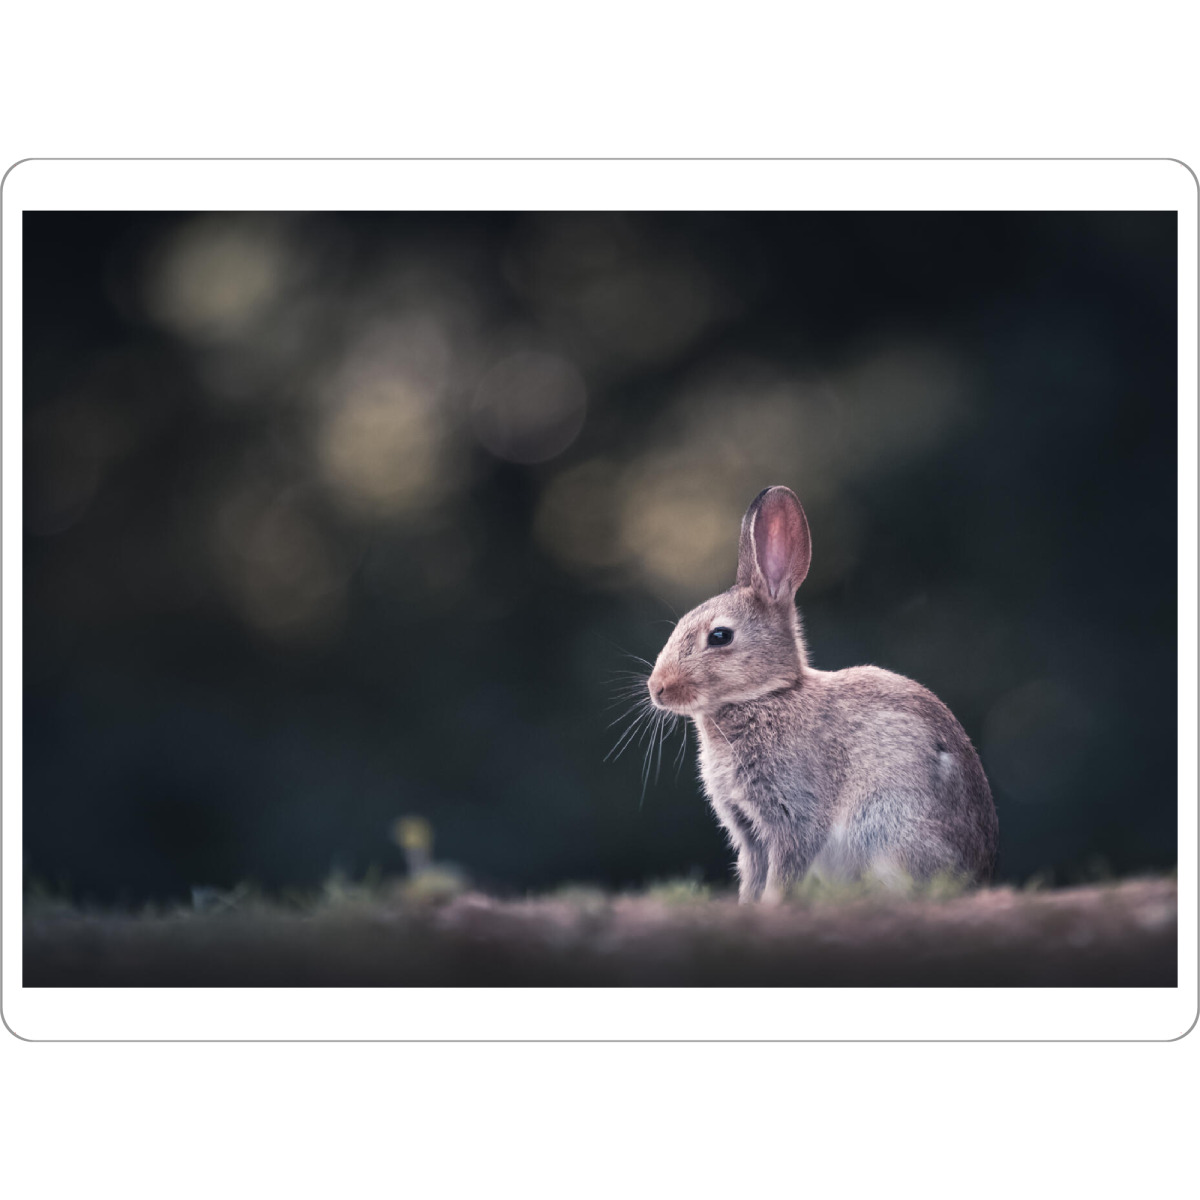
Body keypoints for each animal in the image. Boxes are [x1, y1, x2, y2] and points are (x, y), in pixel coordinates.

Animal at [647, 485, 998, 903]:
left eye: (719, 636)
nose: (657, 688)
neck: (767, 695)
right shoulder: (749, 832)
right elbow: (753, 874)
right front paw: (748, 907)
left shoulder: (794, 812)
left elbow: (785, 868)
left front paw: (773, 906)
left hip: (883, 826)